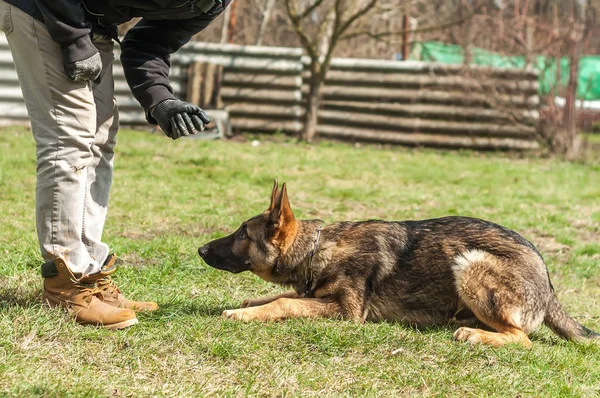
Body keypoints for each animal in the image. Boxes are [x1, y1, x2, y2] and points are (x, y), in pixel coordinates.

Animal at [199, 181, 596, 348]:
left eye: (242, 233)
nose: (200, 250)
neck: (316, 249)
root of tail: (547, 279)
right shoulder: (315, 294)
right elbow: (271, 299)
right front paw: (245, 305)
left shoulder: (346, 312)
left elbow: (284, 301)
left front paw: (241, 313)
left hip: (470, 262)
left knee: (523, 339)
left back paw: (475, 335)